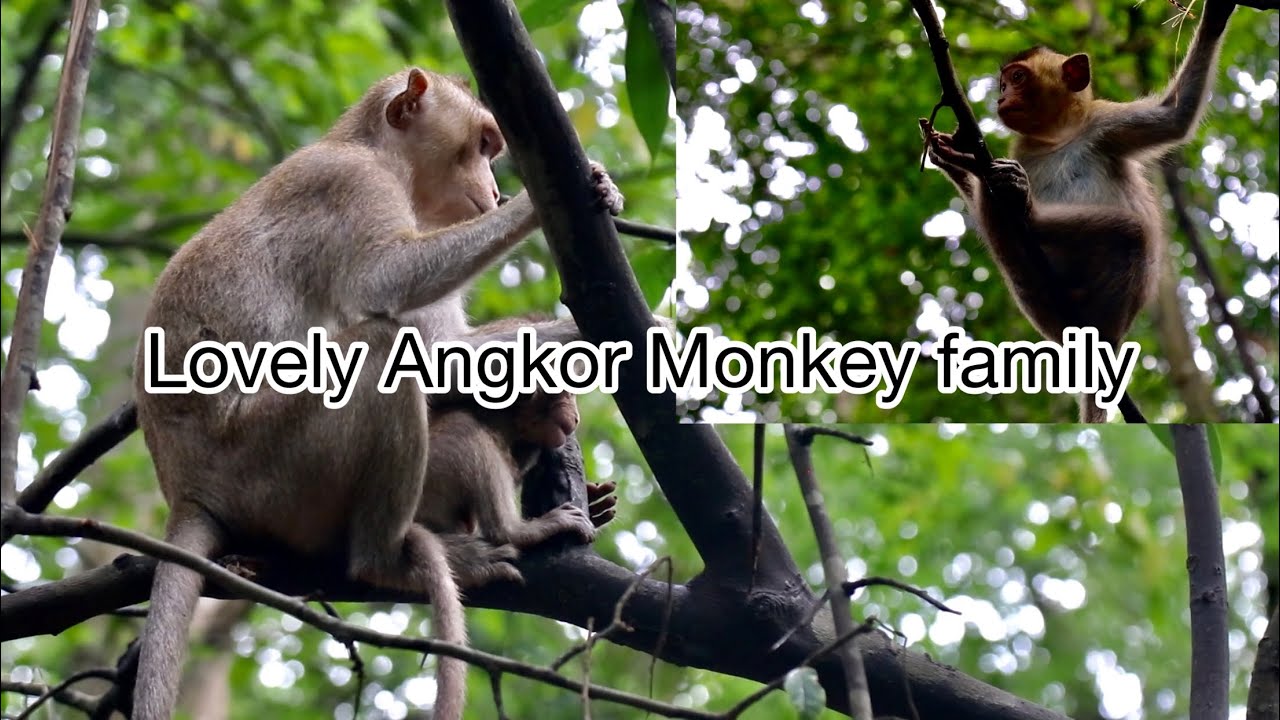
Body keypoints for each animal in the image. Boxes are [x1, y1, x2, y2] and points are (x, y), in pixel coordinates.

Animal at [133, 67, 621, 720]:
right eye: (484, 145)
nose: (494, 190)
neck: (377, 154)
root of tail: (186, 491)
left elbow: (446, 345)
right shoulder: (351, 185)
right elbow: (387, 286)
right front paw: (540, 208)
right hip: (268, 467)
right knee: (381, 348)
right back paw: (389, 560)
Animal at [925, 0, 1236, 422]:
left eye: (1017, 78)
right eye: (1003, 84)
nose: (1002, 98)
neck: (1059, 135)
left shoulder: (1106, 123)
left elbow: (1175, 116)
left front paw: (1215, 16)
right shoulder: (1022, 147)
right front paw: (956, 158)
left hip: (1117, 301)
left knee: (1132, 232)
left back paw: (1026, 211)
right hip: (1035, 302)